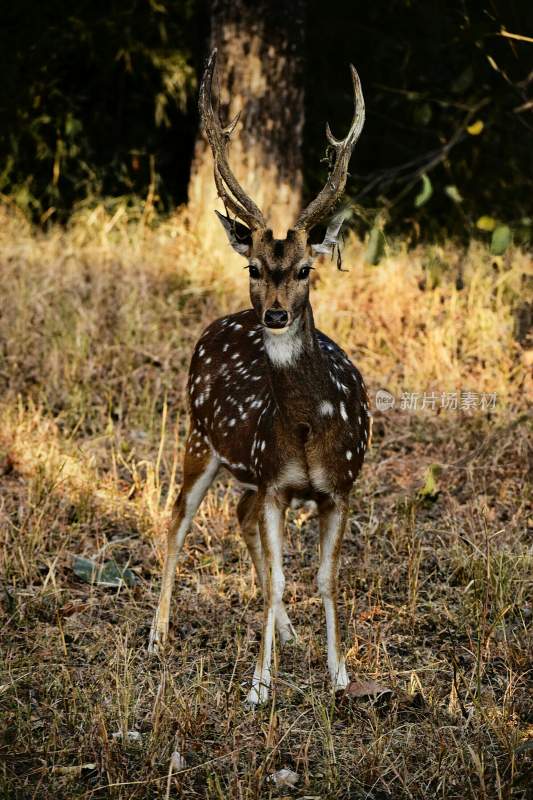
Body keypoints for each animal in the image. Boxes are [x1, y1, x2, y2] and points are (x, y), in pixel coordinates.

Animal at [150, 48, 370, 708]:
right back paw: (156, 635)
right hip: (200, 435)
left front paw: (339, 674)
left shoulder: (338, 487)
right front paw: (258, 685)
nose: (273, 314)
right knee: (177, 520)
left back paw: (291, 633)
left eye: (304, 269)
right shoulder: (276, 481)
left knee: (237, 516)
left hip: (241, 465)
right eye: (252, 265)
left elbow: (323, 579)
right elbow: (276, 580)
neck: (307, 431)